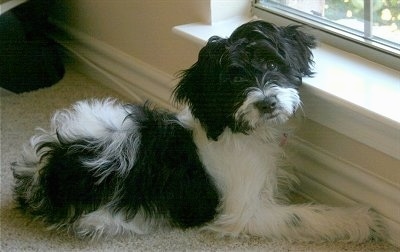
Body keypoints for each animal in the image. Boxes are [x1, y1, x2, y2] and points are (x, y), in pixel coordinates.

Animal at [10, 20, 382, 241]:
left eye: (272, 64)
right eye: (233, 82)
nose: (267, 103)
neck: (240, 131)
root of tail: (40, 165)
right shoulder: (245, 211)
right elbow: (302, 216)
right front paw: (361, 219)